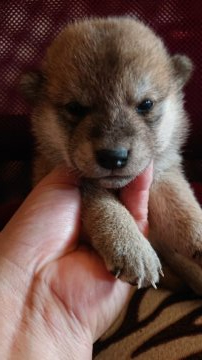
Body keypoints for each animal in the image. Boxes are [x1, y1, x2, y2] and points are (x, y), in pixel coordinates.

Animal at [20, 18, 202, 292]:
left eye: (146, 104)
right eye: (75, 108)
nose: (113, 156)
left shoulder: (163, 173)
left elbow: (181, 205)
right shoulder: (80, 183)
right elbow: (104, 207)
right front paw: (131, 246)